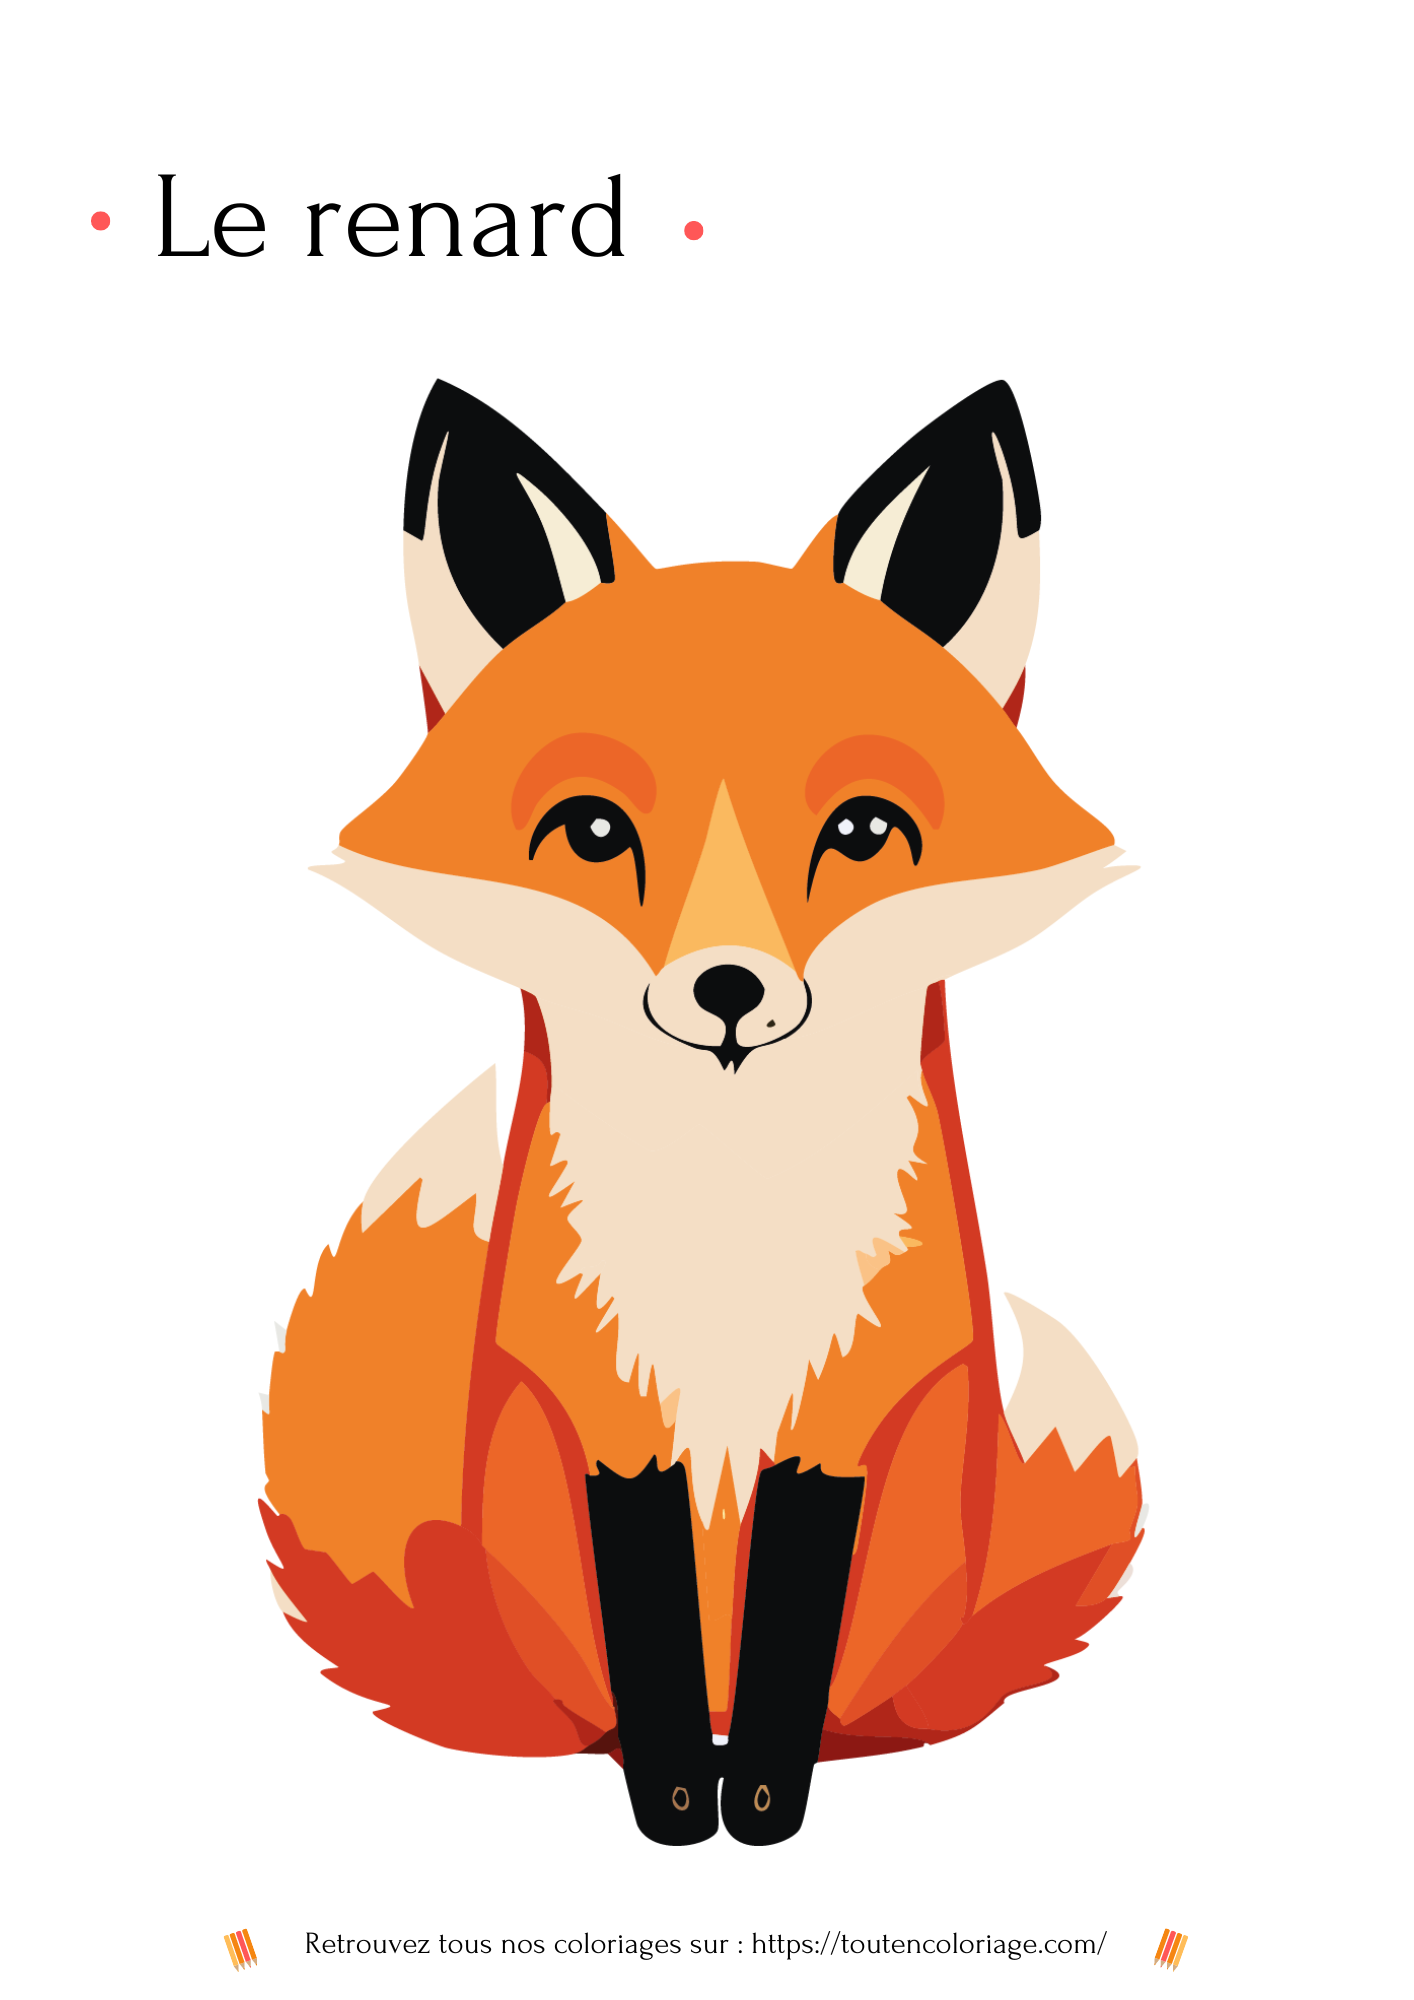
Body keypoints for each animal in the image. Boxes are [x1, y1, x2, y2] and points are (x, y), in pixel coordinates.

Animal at [262, 378, 1143, 1847]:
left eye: (862, 831)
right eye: (590, 830)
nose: (729, 991)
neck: (728, 1219)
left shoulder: (841, 1419)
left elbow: (791, 1621)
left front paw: (761, 1803)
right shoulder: (604, 1416)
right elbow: (654, 1635)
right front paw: (679, 1802)